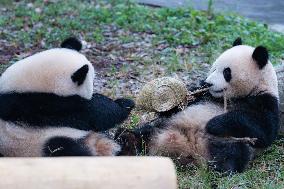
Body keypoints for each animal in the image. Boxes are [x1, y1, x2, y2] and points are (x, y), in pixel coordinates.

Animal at [0, 37, 135, 157]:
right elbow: (94, 114)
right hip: (33, 143)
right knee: (62, 148)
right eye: (91, 82)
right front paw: (124, 104)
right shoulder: (46, 106)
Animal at [116, 38, 280, 173]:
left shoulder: (265, 101)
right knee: (145, 133)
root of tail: (185, 148)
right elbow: (181, 104)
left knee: (233, 153)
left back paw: (221, 167)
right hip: (165, 126)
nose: (209, 83)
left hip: (227, 142)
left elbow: (263, 130)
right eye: (214, 68)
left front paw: (214, 124)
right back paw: (126, 139)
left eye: (226, 72)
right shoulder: (203, 94)